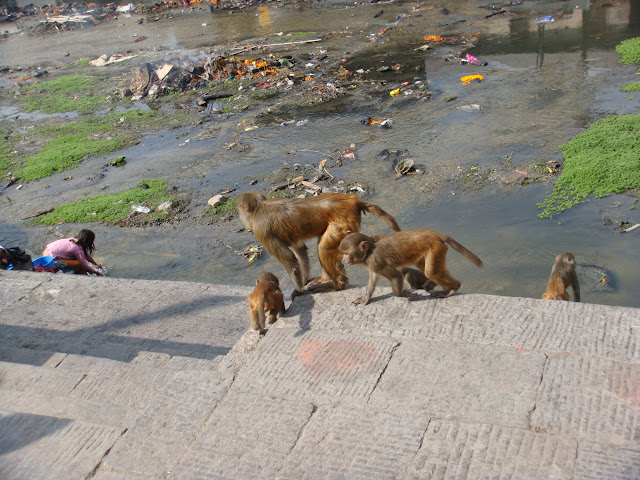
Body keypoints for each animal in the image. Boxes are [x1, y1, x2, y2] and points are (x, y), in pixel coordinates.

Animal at [340, 229, 480, 304]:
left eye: (347, 254)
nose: (344, 259)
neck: (369, 250)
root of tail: (433, 233)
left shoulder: (376, 260)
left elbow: (396, 276)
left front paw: (402, 294)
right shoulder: (372, 263)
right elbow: (373, 276)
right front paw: (367, 297)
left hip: (436, 247)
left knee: (431, 272)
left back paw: (453, 288)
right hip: (436, 249)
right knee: (427, 268)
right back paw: (441, 287)